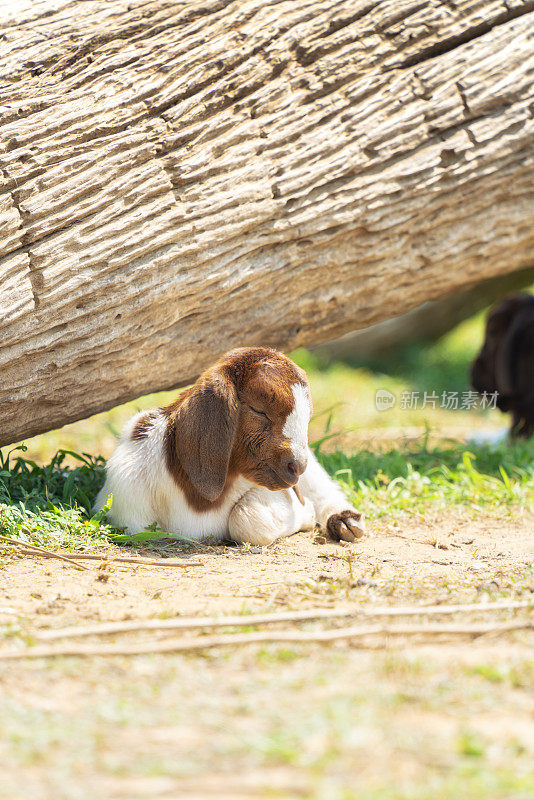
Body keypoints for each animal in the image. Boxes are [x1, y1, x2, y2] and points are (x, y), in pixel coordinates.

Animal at [94, 346, 366, 548]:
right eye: (258, 410)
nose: (297, 466)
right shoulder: (128, 511)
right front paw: (307, 512)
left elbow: (247, 519)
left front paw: (307, 512)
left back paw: (345, 521)